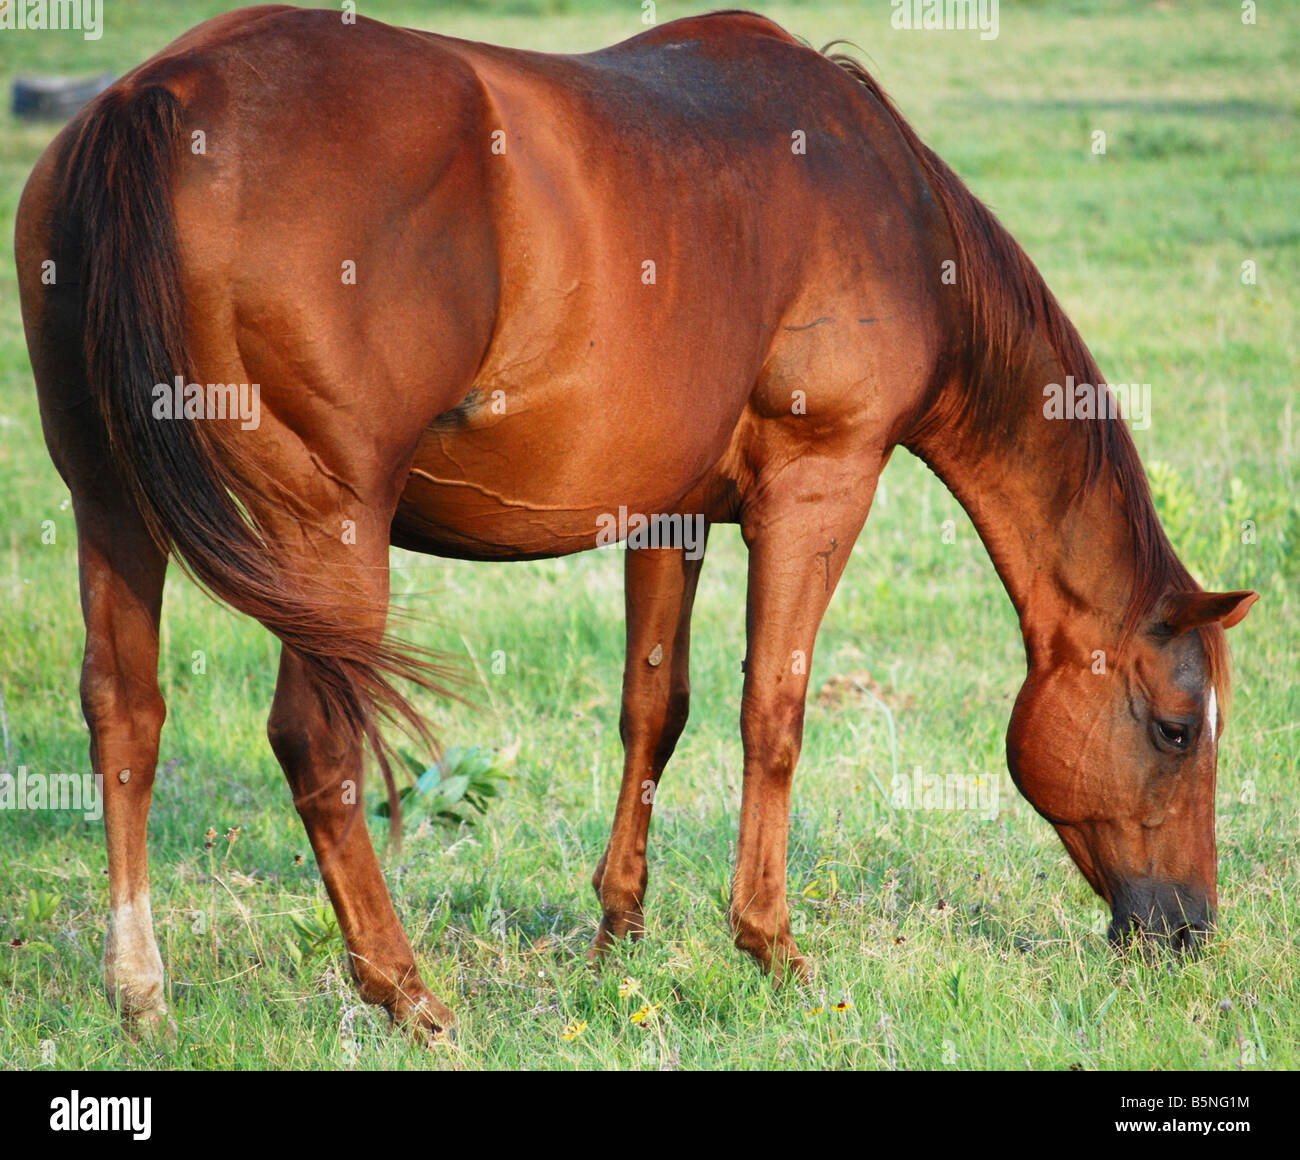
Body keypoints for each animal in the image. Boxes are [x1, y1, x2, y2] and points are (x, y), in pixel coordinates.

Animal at [15, 4, 1258, 1035]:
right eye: (1174, 728)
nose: (1186, 930)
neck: (889, 204)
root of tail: (151, 103)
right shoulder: (820, 483)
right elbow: (773, 712)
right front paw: (769, 944)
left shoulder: (671, 515)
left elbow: (653, 710)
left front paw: (617, 937)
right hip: (328, 533)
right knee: (315, 744)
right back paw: (408, 992)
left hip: (108, 503)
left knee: (125, 717)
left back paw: (142, 995)